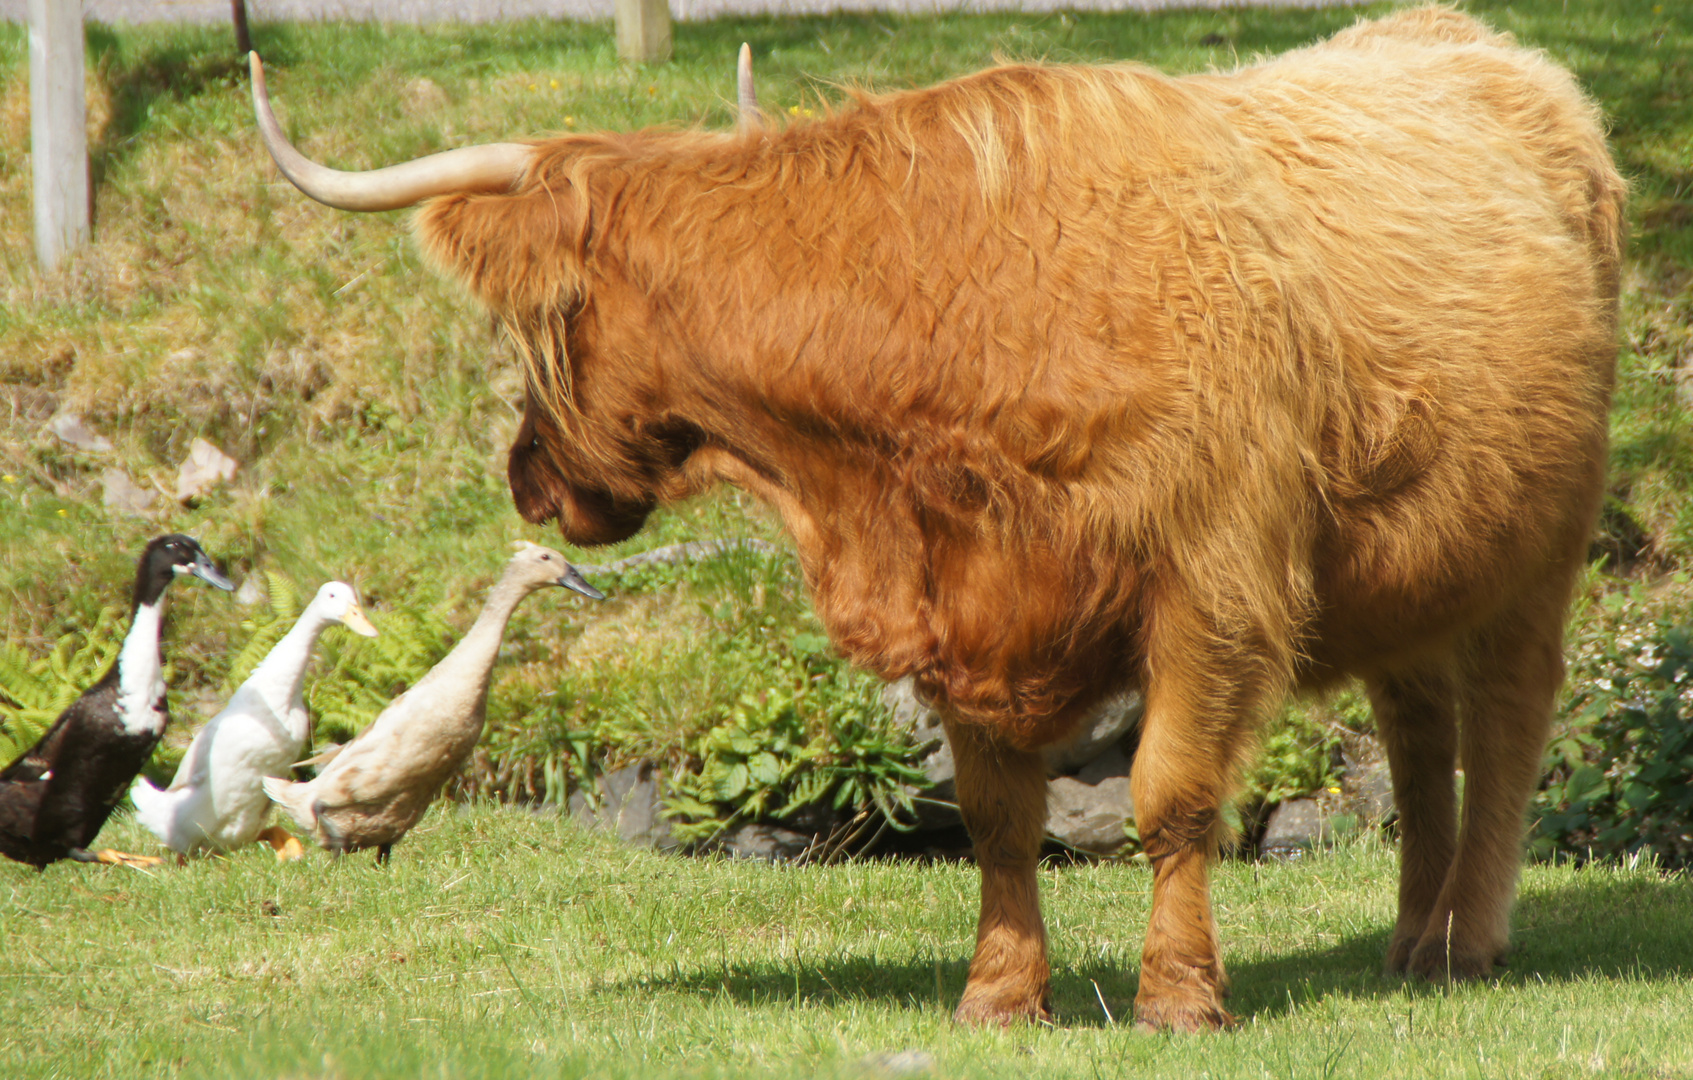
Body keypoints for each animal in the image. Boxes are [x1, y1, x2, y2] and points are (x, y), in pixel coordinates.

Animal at [250, 10, 1625, 1042]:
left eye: (537, 328)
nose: (529, 478)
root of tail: (1483, 45)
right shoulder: (965, 602)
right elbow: (999, 817)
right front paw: (998, 998)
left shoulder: (1213, 583)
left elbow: (1171, 796)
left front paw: (1179, 1000)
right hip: (1421, 564)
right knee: (1418, 728)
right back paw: (1409, 939)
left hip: (1539, 550)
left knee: (1507, 721)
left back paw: (1468, 942)